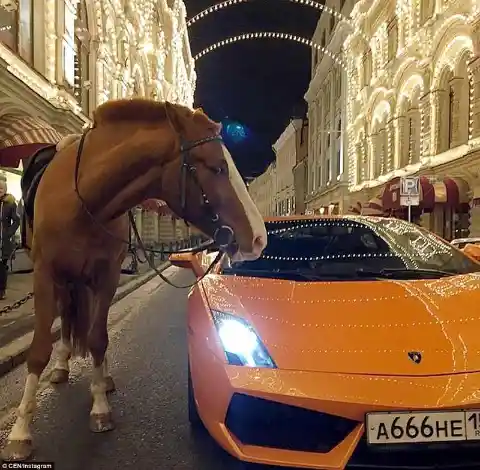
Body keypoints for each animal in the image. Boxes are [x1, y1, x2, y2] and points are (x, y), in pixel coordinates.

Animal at [1, 97, 268, 460]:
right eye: (216, 167)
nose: (259, 238)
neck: (82, 199)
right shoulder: (45, 275)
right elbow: (39, 349)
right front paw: (21, 431)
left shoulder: (107, 275)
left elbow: (98, 338)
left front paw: (100, 404)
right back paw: (62, 365)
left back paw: (100, 376)